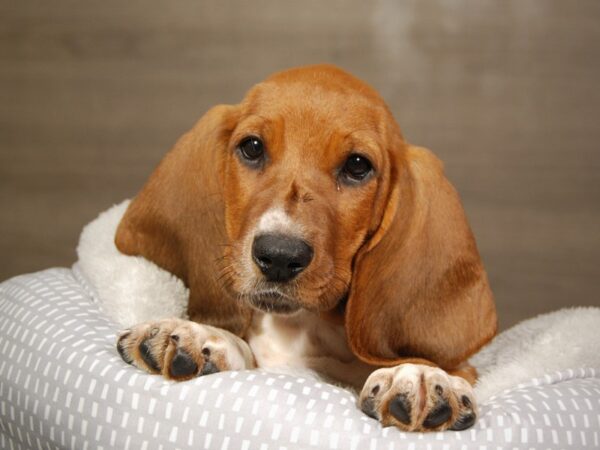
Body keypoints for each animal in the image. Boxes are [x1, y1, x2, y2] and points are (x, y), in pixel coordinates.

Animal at [113, 64, 496, 432]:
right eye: (252, 147)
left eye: (358, 165)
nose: (279, 257)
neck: (301, 329)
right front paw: (200, 335)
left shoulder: (467, 369)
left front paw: (421, 374)